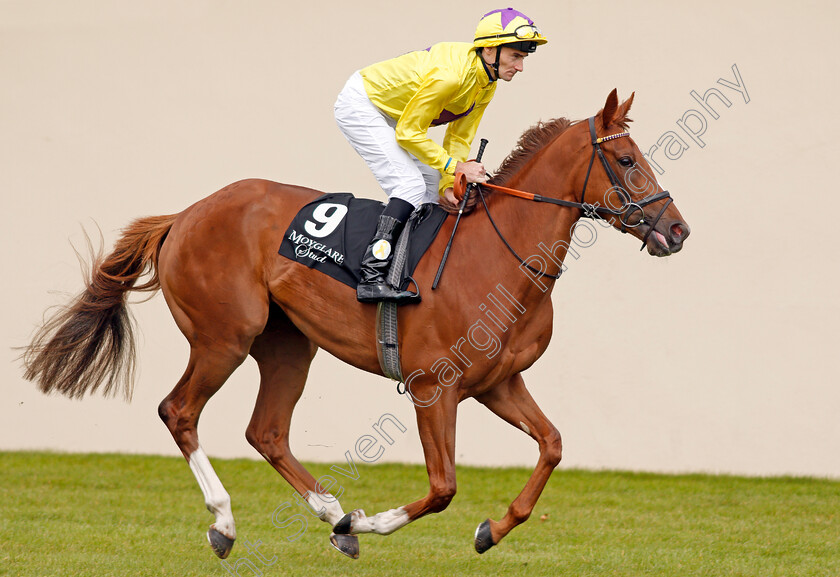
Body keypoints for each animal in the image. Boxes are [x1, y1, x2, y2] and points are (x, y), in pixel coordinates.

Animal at [21, 90, 688, 560]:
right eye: (626, 159)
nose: (677, 229)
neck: (500, 257)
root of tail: (184, 214)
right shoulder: (434, 387)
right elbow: (443, 486)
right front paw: (372, 519)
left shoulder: (499, 383)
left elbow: (551, 446)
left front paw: (490, 531)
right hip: (224, 337)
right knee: (179, 411)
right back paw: (228, 522)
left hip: (287, 346)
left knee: (267, 432)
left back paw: (331, 515)